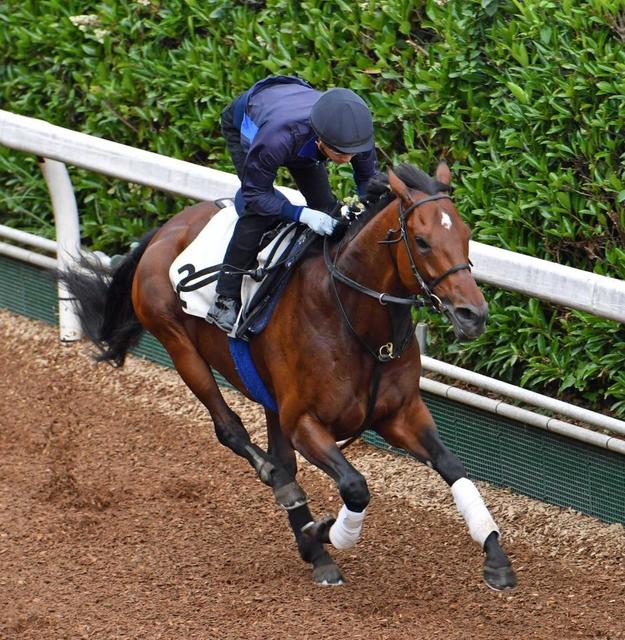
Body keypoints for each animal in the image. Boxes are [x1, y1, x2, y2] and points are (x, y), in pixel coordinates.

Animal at [62, 161, 517, 591]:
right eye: (421, 241)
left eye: (465, 233)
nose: (473, 314)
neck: (356, 323)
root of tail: (166, 228)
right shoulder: (303, 421)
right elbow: (355, 486)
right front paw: (326, 529)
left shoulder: (400, 413)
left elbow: (452, 466)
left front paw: (495, 557)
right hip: (179, 345)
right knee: (232, 430)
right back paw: (285, 493)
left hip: (267, 394)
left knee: (279, 456)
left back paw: (313, 548)